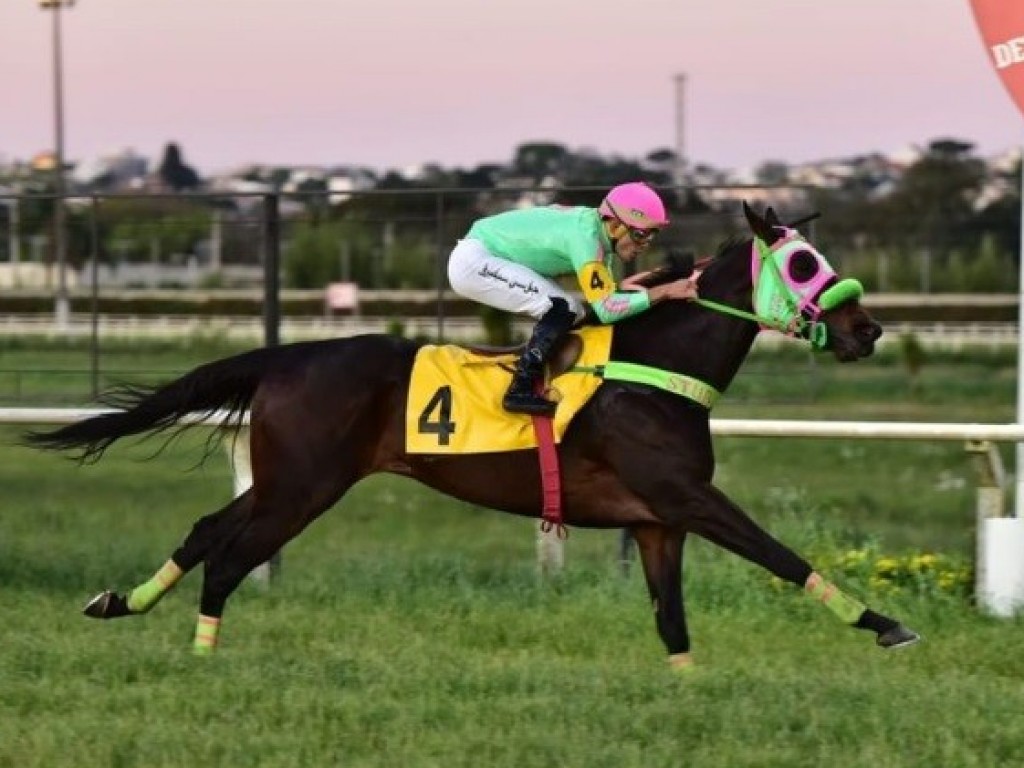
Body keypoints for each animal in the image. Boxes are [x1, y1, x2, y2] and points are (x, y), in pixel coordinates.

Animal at [24, 202, 921, 667]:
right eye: (804, 265)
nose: (869, 329)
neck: (655, 369)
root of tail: (289, 355)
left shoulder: (655, 522)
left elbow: (673, 622)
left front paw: (689, 691)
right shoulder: (688, 497)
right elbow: (781, 554)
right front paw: (885, 624)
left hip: (285, 480)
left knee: (209, 529)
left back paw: (120, 602)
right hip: (303, 487)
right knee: (231, 555)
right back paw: (205, 647)